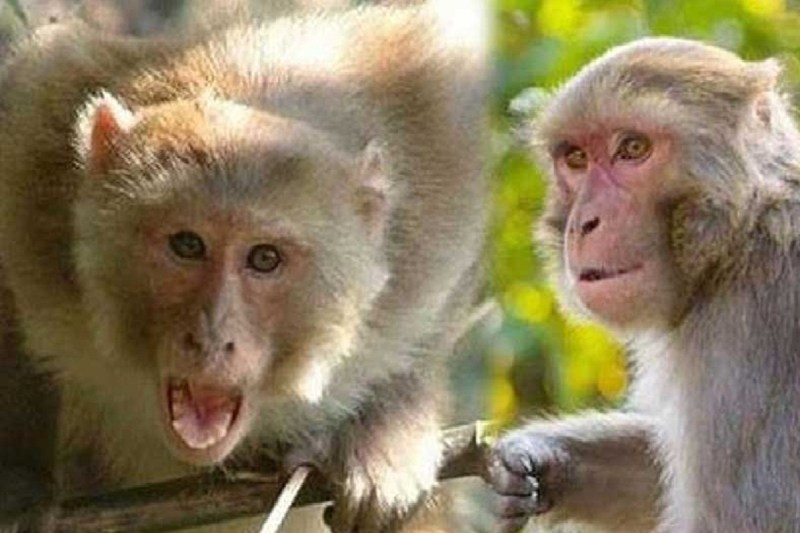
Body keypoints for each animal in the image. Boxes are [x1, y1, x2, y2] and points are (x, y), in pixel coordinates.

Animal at [0, 1, 487, 531]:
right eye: (187, 245)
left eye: (264, 258)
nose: (213, 339)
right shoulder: (37, 150)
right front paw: (21, 477)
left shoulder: (433, 174)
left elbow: (443, 295)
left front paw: (386, 433)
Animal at [487, 37, 800, 533]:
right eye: (576, 158)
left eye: (633, 148)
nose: (585, 222)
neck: (741, 240)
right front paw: (537, 460)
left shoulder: (746, 334)